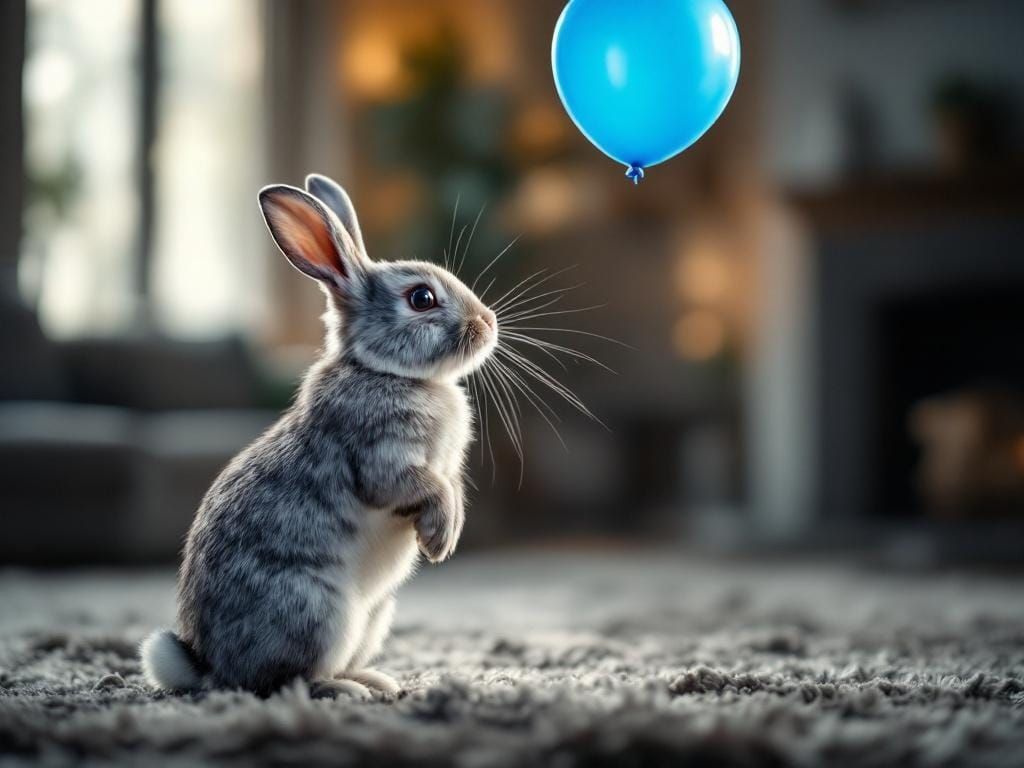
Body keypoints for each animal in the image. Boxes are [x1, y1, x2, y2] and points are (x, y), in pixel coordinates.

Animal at [140, 174, 497, 699]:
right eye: (421, 298)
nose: (487, 323)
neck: (384, 370)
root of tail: (209, 666)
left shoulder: (445, 467)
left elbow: (451, 489)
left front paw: (444, 537)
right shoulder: (381, 456)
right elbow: (421, 486)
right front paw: (438, 540)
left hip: (375, 615)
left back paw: (375, 680)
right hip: (318, 611)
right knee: (283, 680)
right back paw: (346, 691)